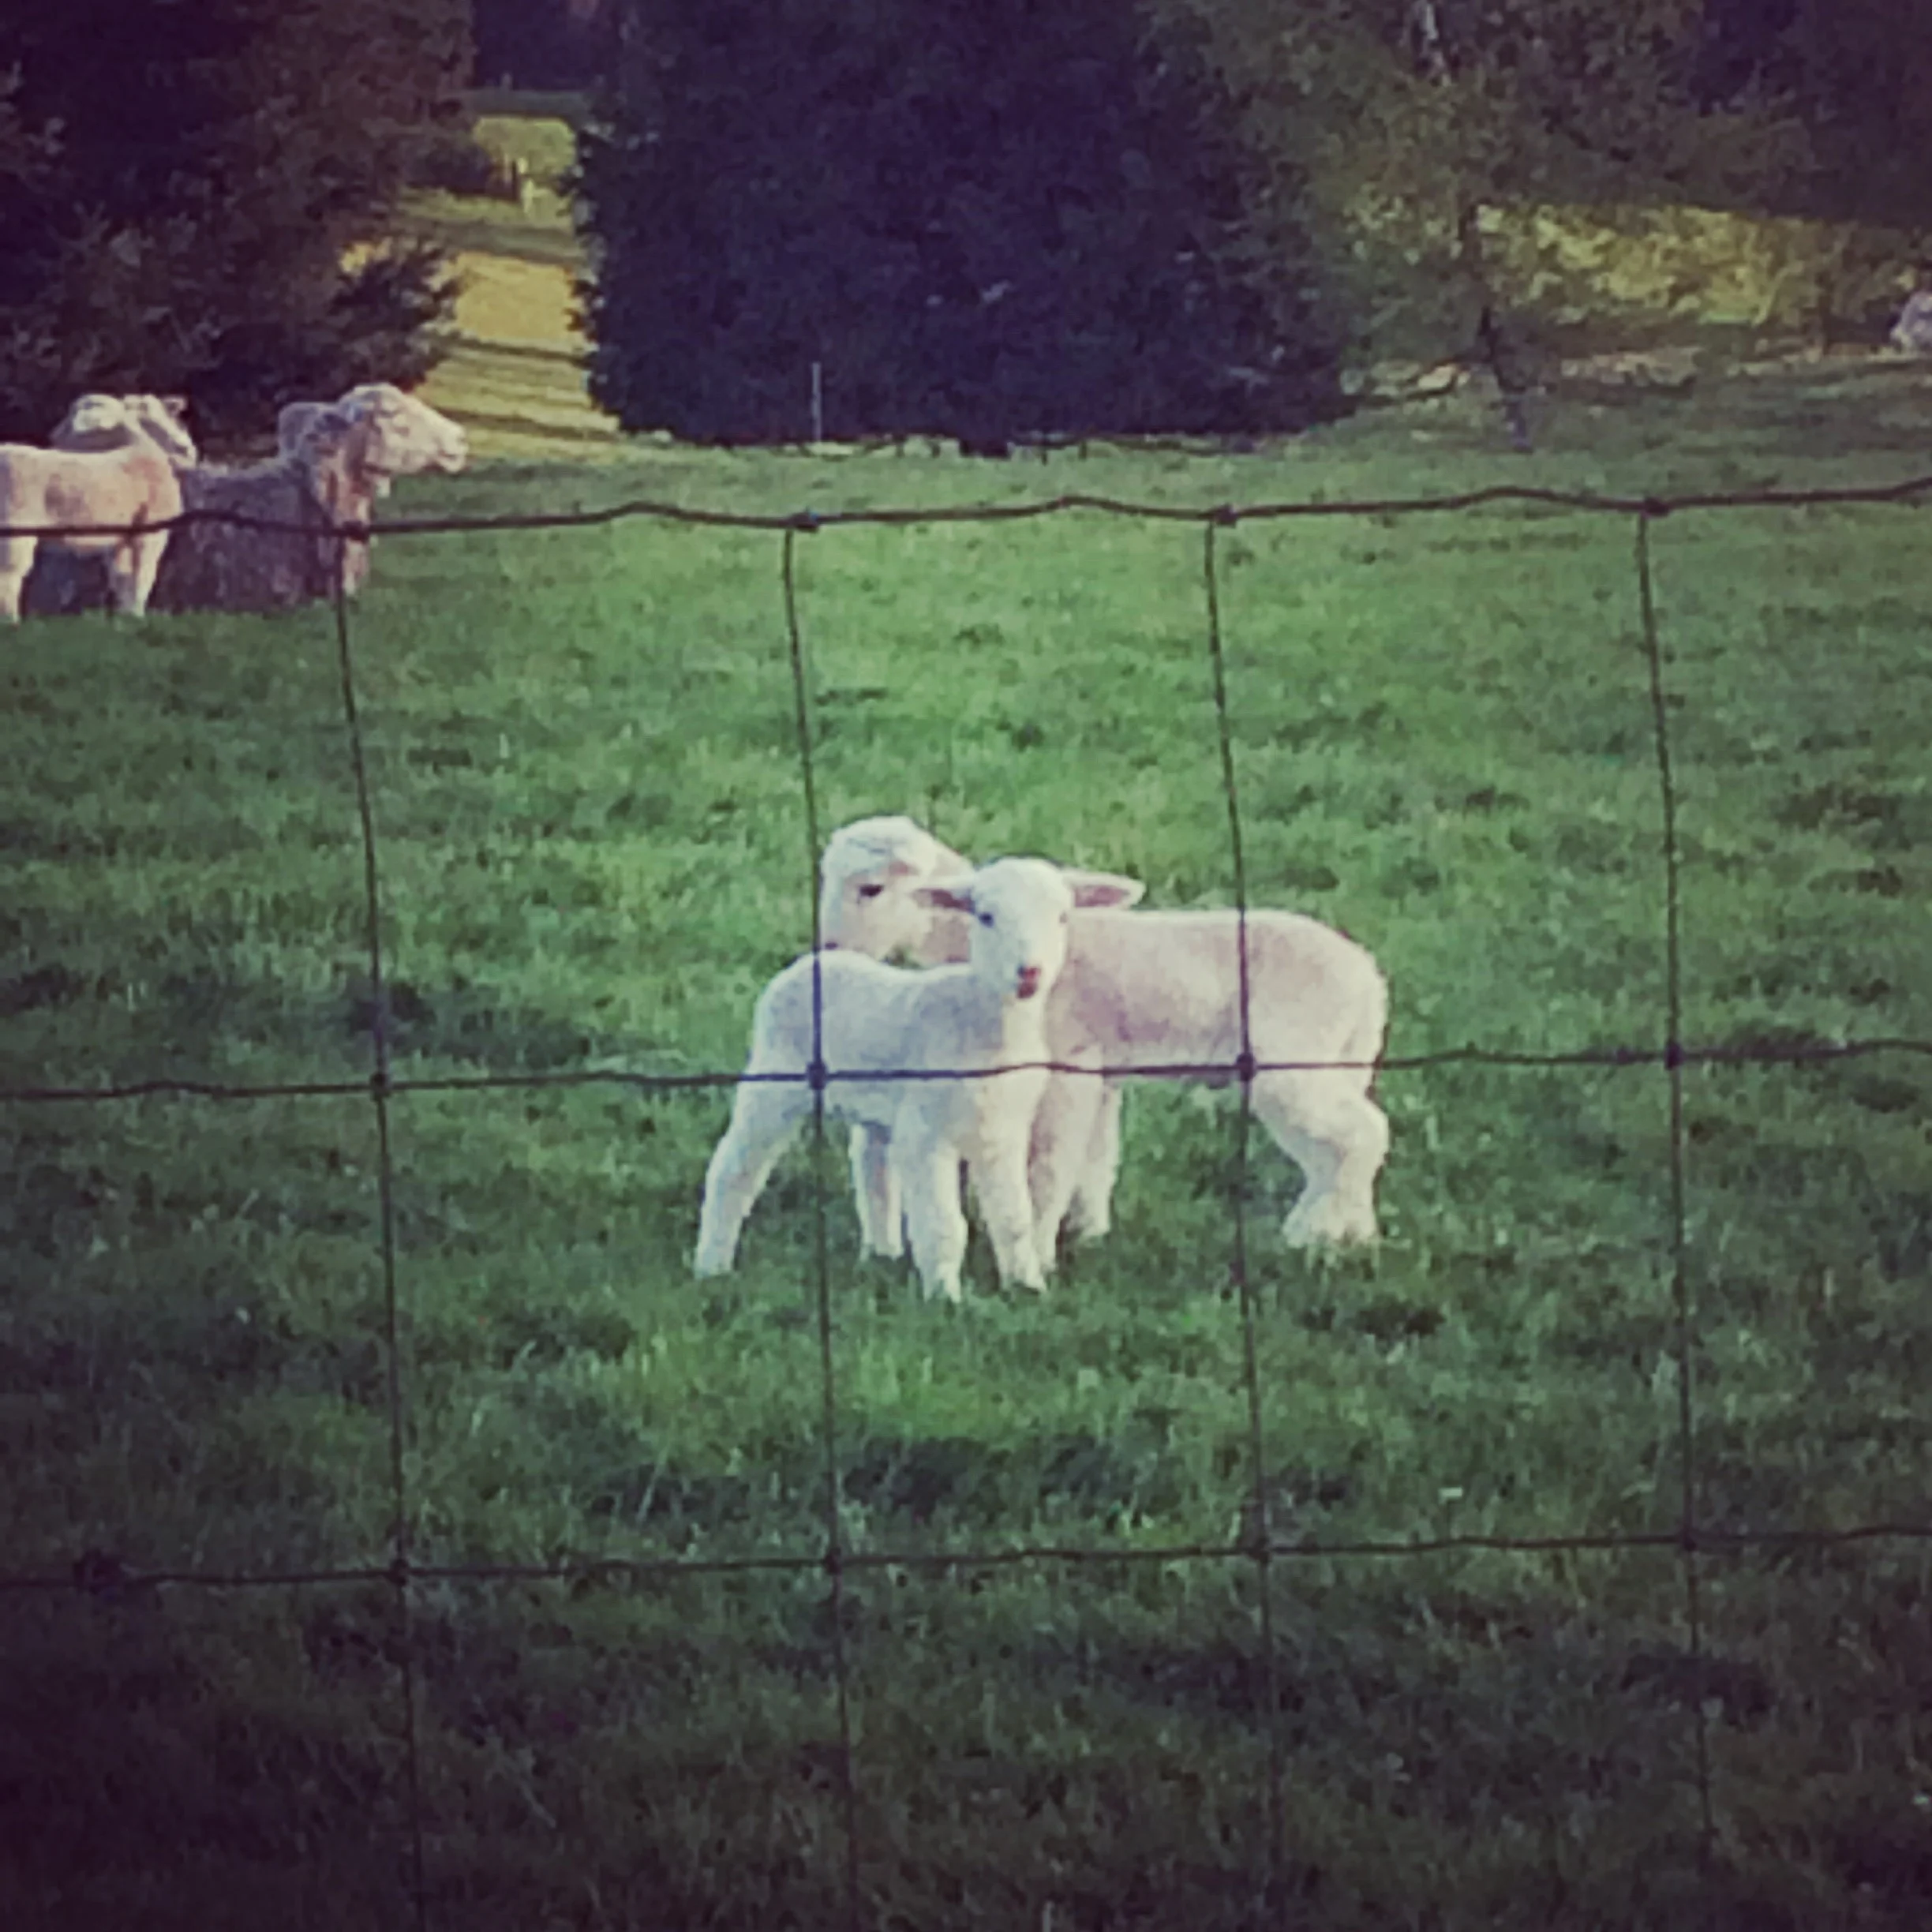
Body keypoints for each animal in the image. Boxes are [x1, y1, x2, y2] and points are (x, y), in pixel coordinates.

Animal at [694, 856, 1142, 1302]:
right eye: (986, 916)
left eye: (1063, 917)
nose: (1029, 972)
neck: (982, 1024)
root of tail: (811, 962)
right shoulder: (927, 1131)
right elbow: (945, 1226)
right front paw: (945, 1299)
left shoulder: (1002, 1132)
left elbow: (1016, 1219)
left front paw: (1027, 1287)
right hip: (774, 1078)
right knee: (734, 1169)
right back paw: (712, 1265)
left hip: (877, 1102)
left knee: (872, 1163)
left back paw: (882, 1253)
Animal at [820, 816, 1391, 1251]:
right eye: (985, 913)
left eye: (870, 889)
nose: (829, 947)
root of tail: (1369, 979)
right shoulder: (1101, 1064)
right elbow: (1097, 1156)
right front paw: (1090, 1230)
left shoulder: (1067, 1061)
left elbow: (1053, 1162)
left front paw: (1042, 1243)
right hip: (1343, 1059)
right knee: (1338, 1148)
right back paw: (1352, 1235)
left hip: (1294, 1061)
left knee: (1363, 1134)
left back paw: (1309, 1233)